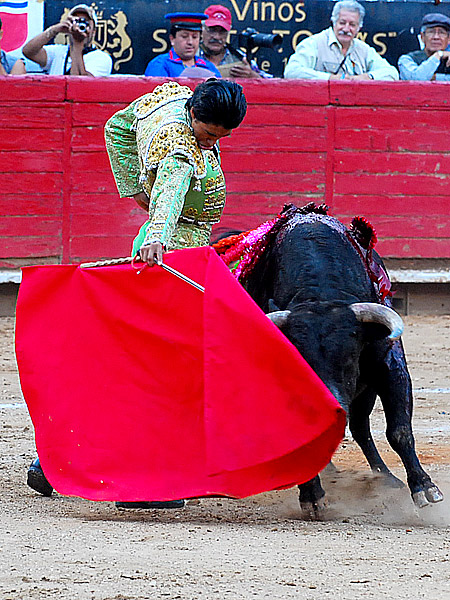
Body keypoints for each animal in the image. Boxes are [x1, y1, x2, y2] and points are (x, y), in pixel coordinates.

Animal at [243, 209, 442, 516]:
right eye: (300, 363)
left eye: (350, 356)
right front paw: (312, 496)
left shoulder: (389, 366)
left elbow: (399, 430)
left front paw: (425, 488)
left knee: (360, 426)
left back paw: (386, 479)